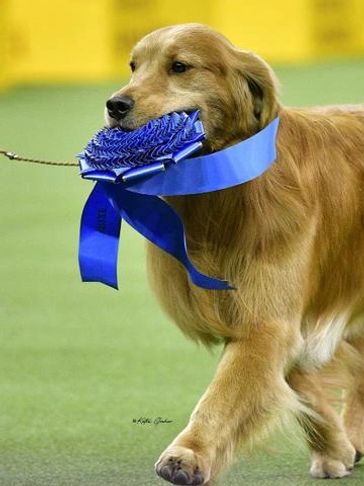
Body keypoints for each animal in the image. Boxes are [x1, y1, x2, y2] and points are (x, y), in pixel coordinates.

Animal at [104, 21, 364, 482]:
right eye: (133, 66)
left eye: (179, 66)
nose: (115, 105)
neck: (225, 191)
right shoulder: (267, 315)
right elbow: (297, 384)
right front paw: (335, 447)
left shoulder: (267, 320)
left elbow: (226, 393)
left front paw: (188, 454)